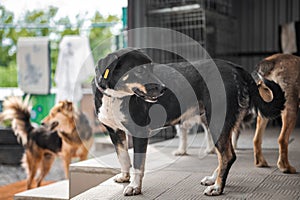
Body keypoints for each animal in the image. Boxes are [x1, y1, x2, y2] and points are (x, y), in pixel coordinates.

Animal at [92, 48, 286, 195]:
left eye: (152, 68)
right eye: (139, 70)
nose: (163, 89)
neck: (114, 96)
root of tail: (234, 66)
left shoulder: (140, 133)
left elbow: (138, 164)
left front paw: (134, 187)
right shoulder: (114, 131)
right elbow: (123, 157)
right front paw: (125, 177)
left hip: (216, 122)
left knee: (228, 155)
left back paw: (218, 187)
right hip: (218, 123)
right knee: (225, 154)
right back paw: (213, 180)